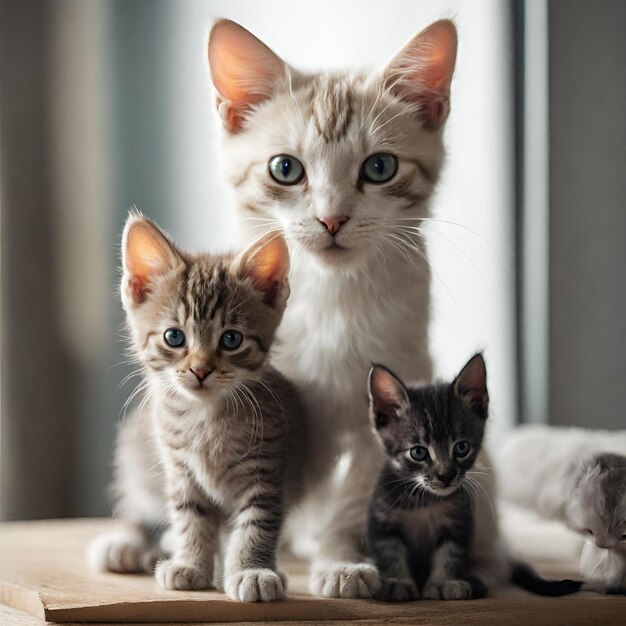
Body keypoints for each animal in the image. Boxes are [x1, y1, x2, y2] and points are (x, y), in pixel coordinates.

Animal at [89, 214, 308, 600]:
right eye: (174, 337)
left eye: (231, 339)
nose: (200, 370)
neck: (205, 418)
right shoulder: (180, 471)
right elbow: (190, 518)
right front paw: (191, 564)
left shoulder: (267, 468)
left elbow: (256, 524)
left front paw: (251, 570)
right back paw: (128, 544)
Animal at [207, 18, 456, 596]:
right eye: (285, 168)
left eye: (380, 166)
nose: (332, 219)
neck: (332, 301)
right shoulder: (275, 409)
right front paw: (248, 560)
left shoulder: (389, 407)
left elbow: (355, 498)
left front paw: (342, 560)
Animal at [366, 354, 580, 596]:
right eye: (418, 452)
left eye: (462, 448)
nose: (446, 476)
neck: (426, 501)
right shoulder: (383, 521)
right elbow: (389, 553)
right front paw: (397, 580)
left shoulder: (459, 523)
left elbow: (450, 555)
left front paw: (442, 582)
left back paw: (473, 581)